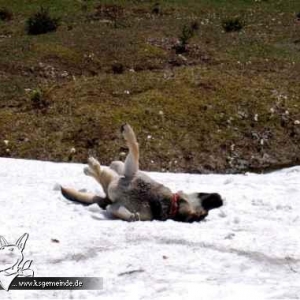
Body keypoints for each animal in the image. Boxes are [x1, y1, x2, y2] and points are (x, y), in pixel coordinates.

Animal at [60, 123, 223, 221]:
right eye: (203, 195)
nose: (219, 198)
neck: (168, 204)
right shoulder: (131, 172)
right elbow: (135, 147)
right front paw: (128, 131)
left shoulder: (118, 200)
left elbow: (122, 212)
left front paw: (131, 215)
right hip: (120, 166)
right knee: (110, 170)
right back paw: (93, 166)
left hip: (116, 177)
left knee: (103, 176)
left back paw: (92, 167)